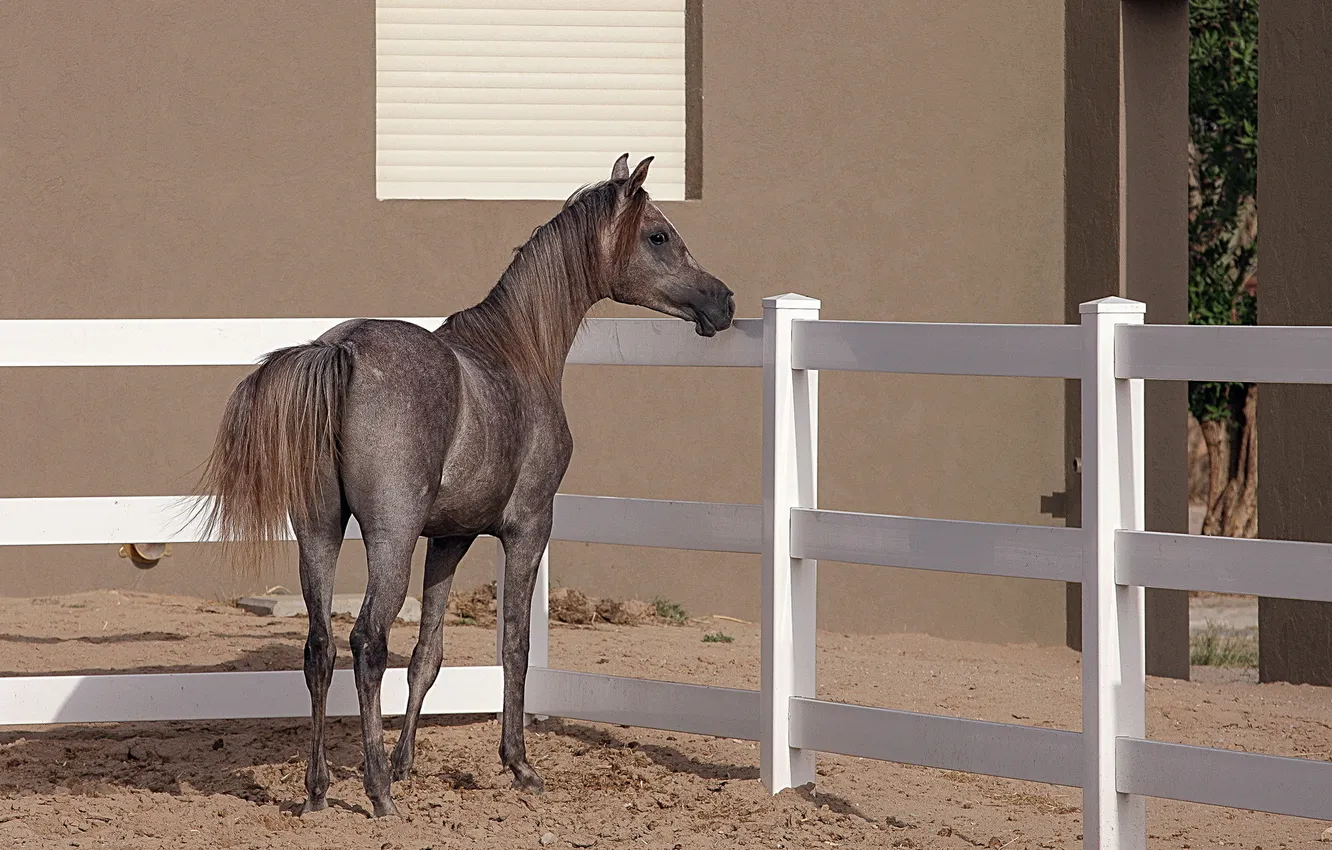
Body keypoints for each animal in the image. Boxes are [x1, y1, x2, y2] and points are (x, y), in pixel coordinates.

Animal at [195, 156, 735, 820]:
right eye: (658, 235)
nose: (723, 301)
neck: (517, 352)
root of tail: (341, 349)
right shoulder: (527, 528)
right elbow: (514, 645)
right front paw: (518, 764)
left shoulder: (449, 539)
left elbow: (428, 656)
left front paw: (406, 763)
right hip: (390, 539)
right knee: (366, 642)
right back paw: (377, 793)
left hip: (319, 533)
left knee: (319, 648)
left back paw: (319, 791)